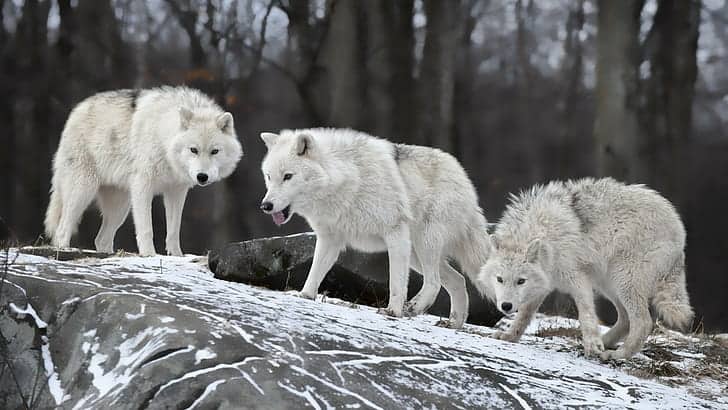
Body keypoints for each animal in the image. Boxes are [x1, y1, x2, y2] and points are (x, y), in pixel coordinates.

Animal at [44, 86, 243, 256]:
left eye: (214, 151)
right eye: (193, 150)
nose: (202, 177)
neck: (163, 138)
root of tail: (77, 110)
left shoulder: (176, 191)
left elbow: (173, 230)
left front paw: (176, 255)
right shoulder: (143, 186)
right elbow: (147, 228)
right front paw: (149, 254)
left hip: (120, 207)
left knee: (101, 239)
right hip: (83, 191)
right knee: (62, 229)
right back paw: (64, 250)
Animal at [259, 128, 492, 327]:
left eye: (288, 176)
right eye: (269, 177)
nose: (265, 206)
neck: (347, 179)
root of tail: (464, 177)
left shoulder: (395, 233)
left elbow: (396, 282)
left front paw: (393, 311)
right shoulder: (329, 239)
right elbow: (315, 272)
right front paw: (305, 296)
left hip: (423, 244)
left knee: (434, 282)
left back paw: (414, 308)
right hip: (415, 254)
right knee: (458, 280)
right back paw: (453, 323)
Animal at [479, 177, 693, 359]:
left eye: (520, 281)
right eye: (500, 279)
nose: (506, 306)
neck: (546, 234)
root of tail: (680, 229)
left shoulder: (578, 279)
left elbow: (586, 315)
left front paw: (592, 345)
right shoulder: (544, 283)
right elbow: (524, 316)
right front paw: (509, 336)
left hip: (623, 281)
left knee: (643, 322)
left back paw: (617, 354)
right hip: (609, 284)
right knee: (625, 320)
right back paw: (605, 343)